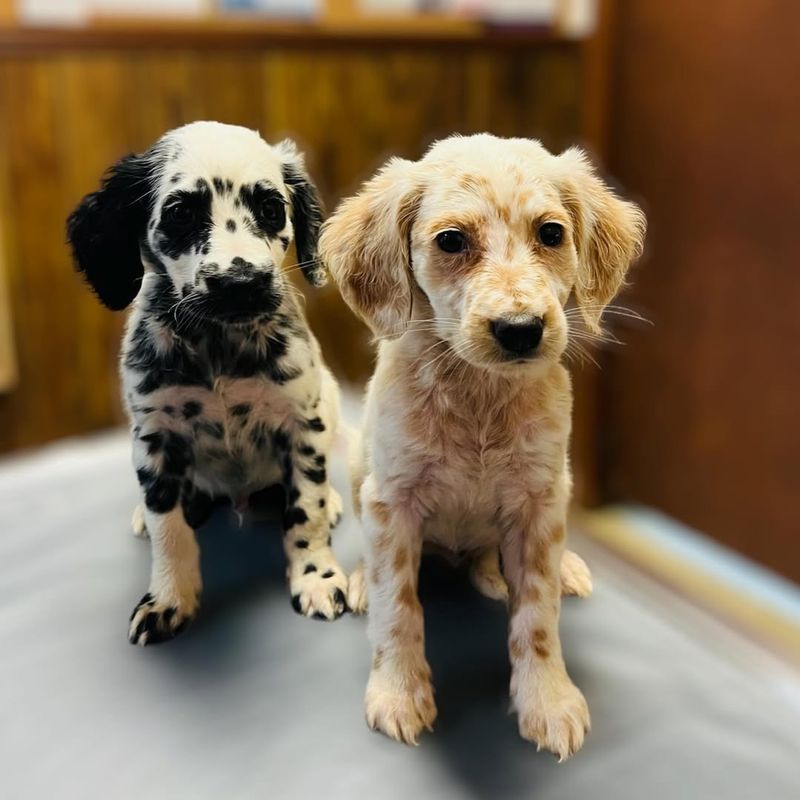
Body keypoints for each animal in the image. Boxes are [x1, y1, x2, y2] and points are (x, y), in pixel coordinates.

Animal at [70, 120, 352, 644]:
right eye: (181, 213)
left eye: (271, 208)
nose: (242, 284)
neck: (220, 347)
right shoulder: (156, 438)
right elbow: (169, 529)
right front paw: (168, 599)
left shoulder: (303, 423)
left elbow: (306, 509)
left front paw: (317, 578)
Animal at [318, 134, 644, 760]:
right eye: (451, 241)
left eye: (551, 233)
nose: (521, 329)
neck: (479, 400)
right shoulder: (391, 502)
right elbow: (399, 607)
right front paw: (398, 692)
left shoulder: (540, 502)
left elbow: (537, 614)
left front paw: (547, 699)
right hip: (359, 468)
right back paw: (361, 580)